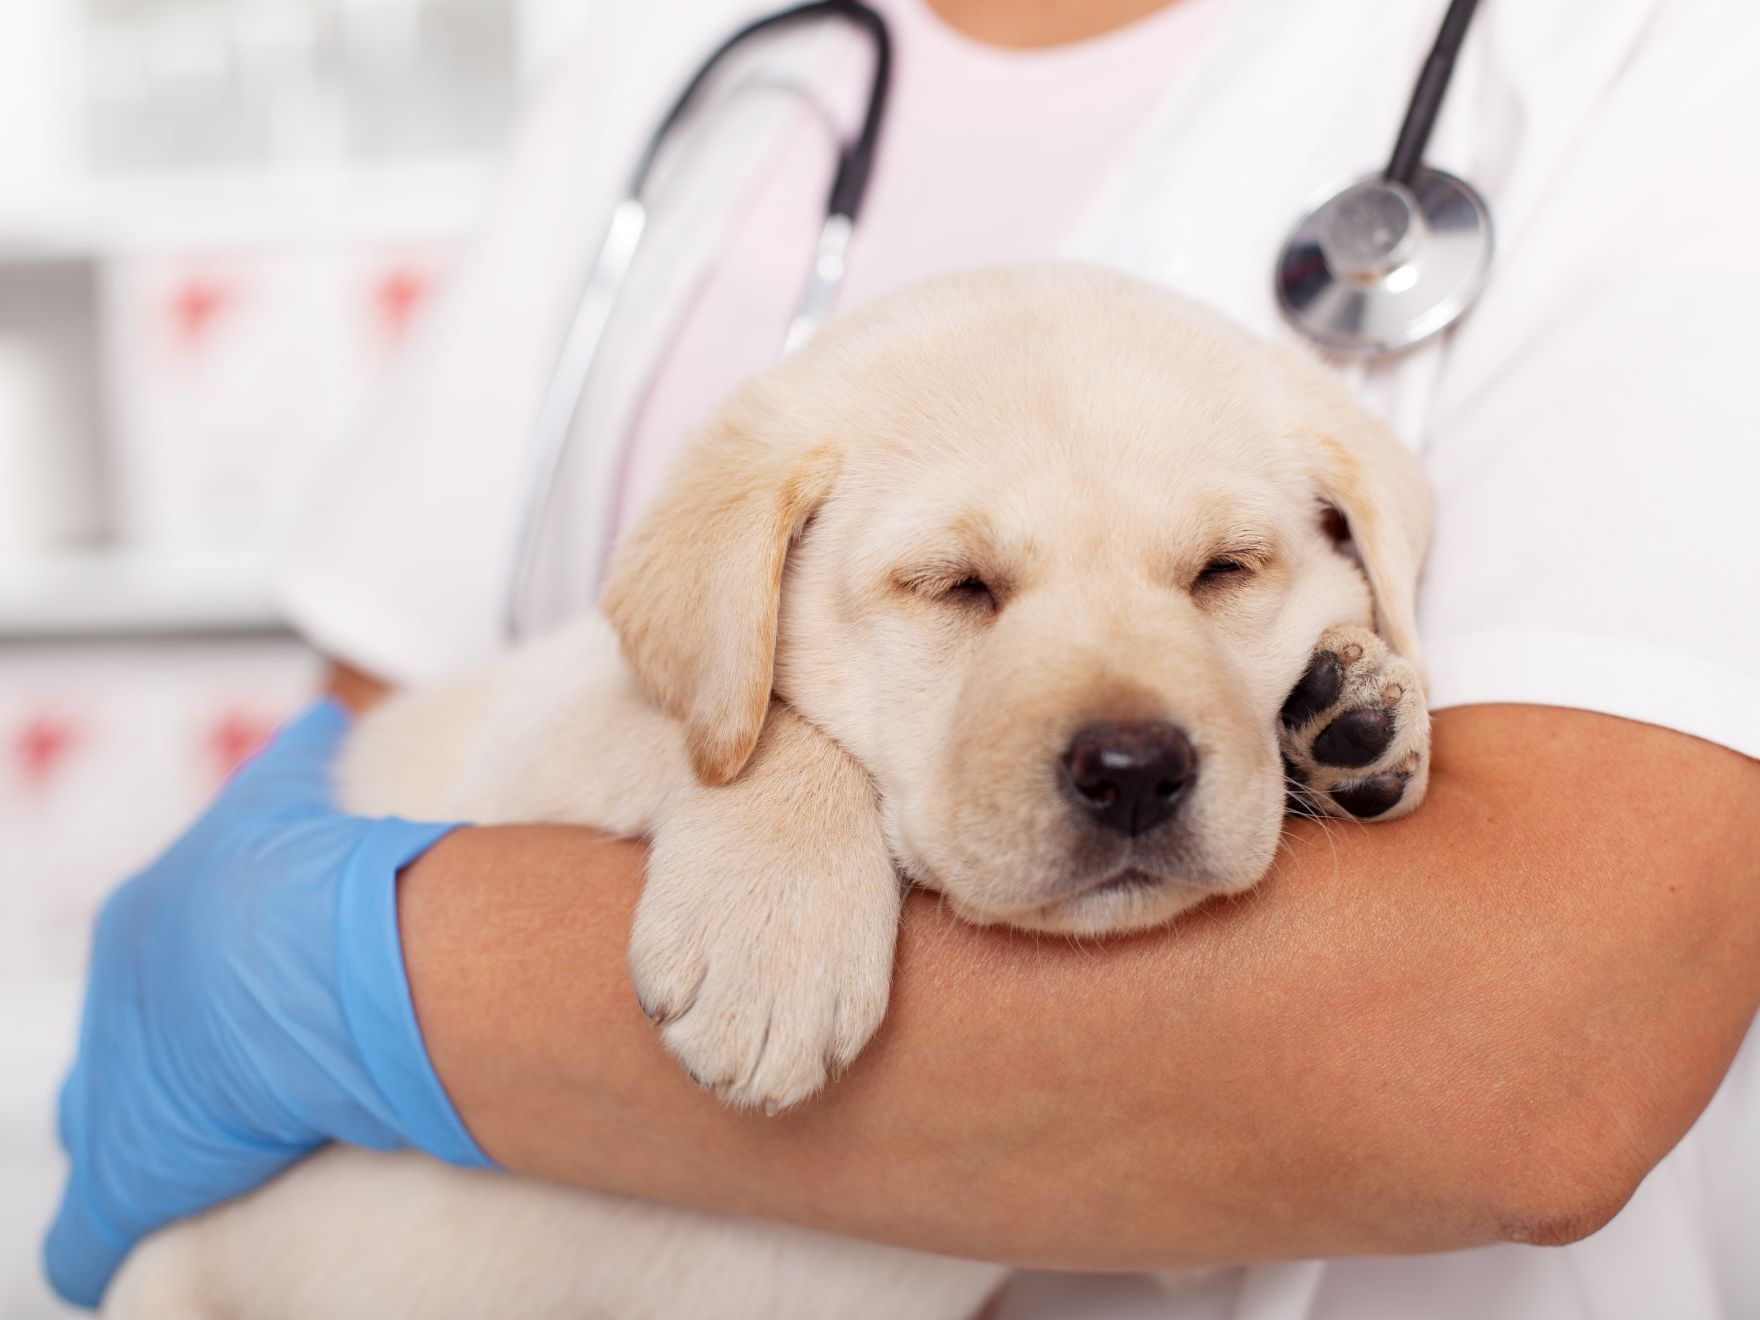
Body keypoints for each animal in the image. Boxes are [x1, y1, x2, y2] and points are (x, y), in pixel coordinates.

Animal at [102, 264, 1429, 1316]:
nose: (1136, 770)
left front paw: (1352, 701)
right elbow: (762, 727)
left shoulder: (1172, 1241)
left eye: (1222, 573)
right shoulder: (526, 750)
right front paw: (770, 943)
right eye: (954, 587)